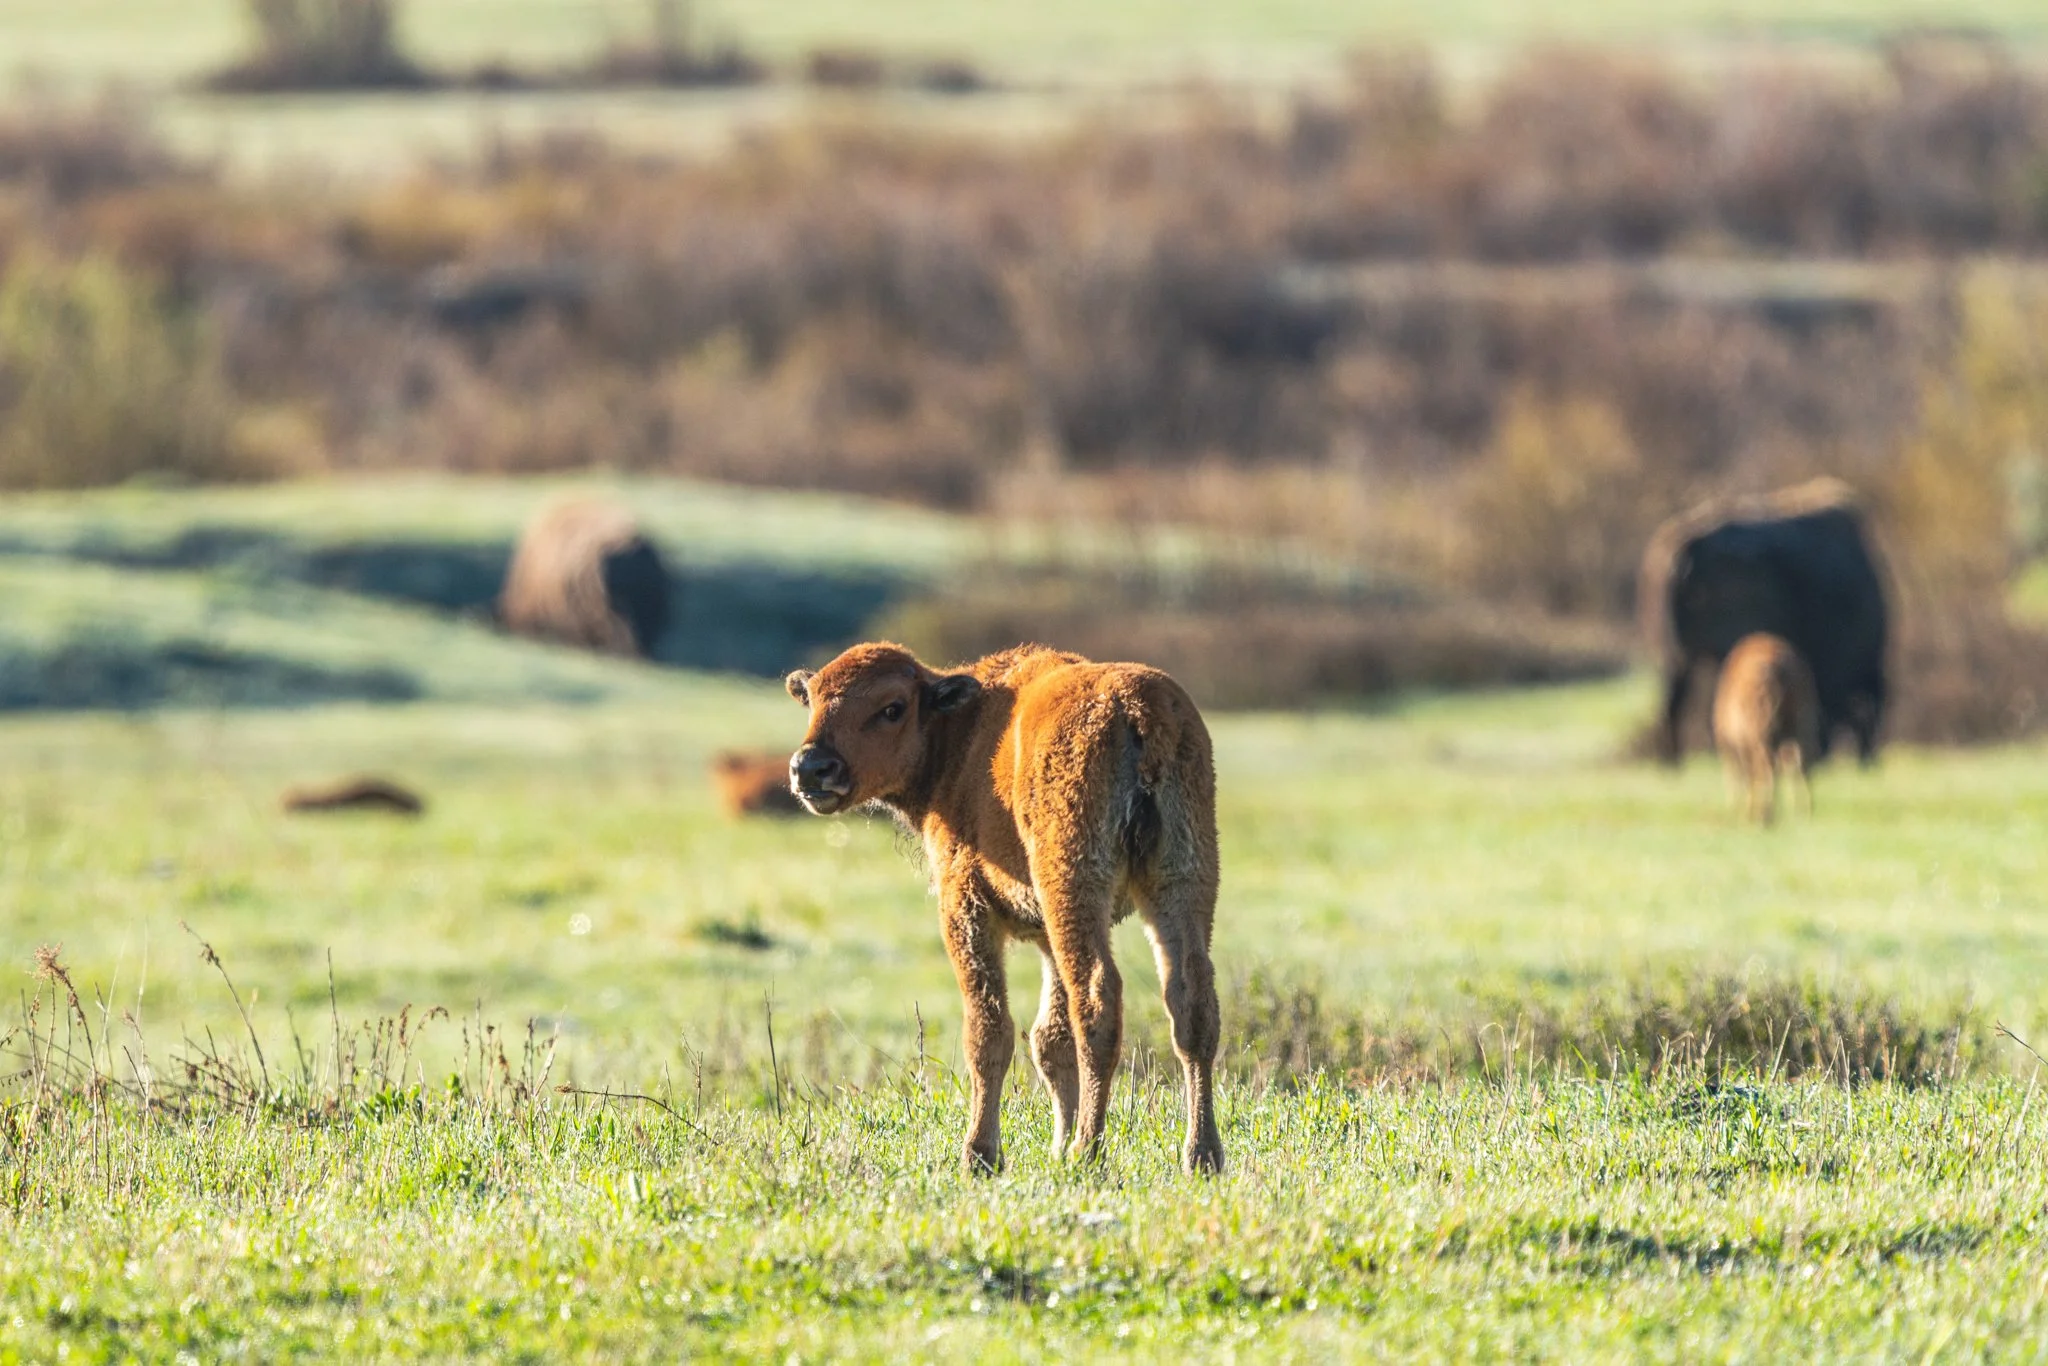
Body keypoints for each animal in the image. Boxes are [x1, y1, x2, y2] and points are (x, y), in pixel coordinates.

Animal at [785, 642, 1224, 1176]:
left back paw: (1087, 1151)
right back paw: (1200, 1155)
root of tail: (1135, 707)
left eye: (892, 708)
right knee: (1191, 1001)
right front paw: (1053, 1143)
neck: (959, 734)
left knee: (1098, 1000)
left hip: (1074, 885)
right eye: (812, 700)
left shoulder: (965, 906)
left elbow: (989, 1031)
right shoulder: (1046, 937)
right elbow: (1049, 1039)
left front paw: (980, 1155)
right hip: (1183, 877)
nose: (812, 769)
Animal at [1712, 634, 1820, 826]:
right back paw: (1804, 812)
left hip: (1760, 731)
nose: (1731, 812)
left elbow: (1749, 775)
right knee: (1800, 762)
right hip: (1803, 724)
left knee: (1766, 767)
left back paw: (1765, 815)